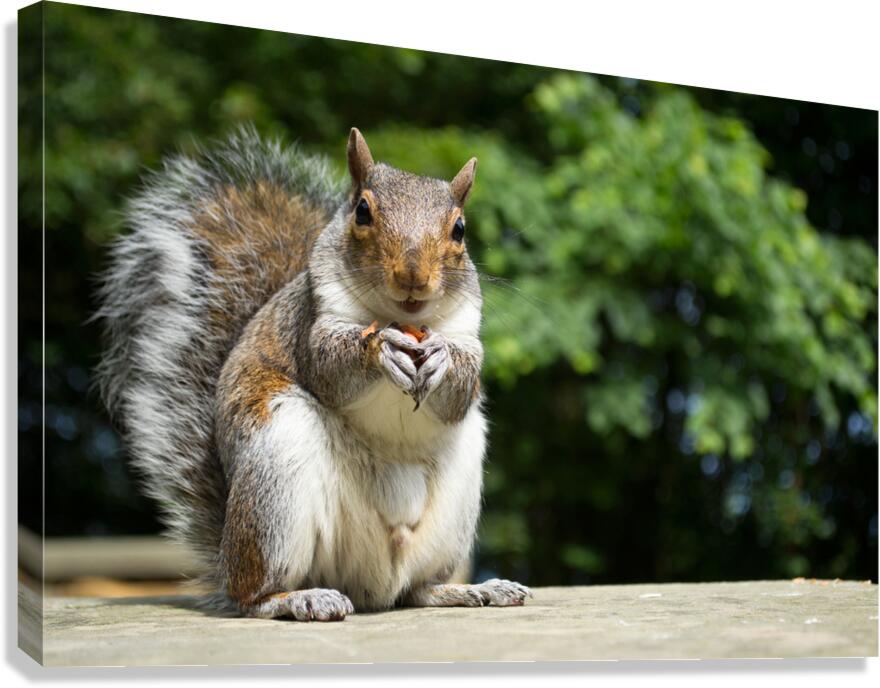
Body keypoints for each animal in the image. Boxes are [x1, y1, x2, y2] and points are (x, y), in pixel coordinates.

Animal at [96, 127, 532, 620]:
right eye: (363, 211)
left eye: (459, 229)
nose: (413, 277)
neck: (399, 316)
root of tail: (370, 581)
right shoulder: (311, 322)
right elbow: (329, 366)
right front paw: (380, 349)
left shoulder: (466, 331)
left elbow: (460, 390)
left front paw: (441, 356)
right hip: (276, 477)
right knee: (252, 595)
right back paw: (296, 597)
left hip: (453, 508)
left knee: (415, 590)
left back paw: (470, 589)